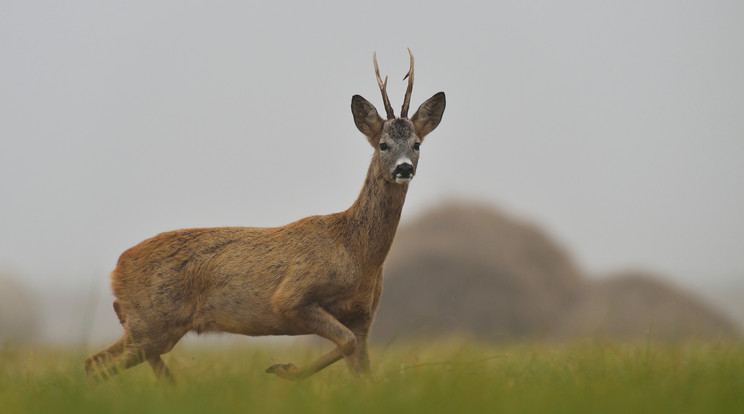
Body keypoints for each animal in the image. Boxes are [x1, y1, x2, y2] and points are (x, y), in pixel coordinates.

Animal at [87, 49, 448, 382]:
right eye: (383, 144)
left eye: (417, 144)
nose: (404, 168)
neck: (357, 252)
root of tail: (117, 269)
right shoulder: (291, 297)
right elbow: (344, 342)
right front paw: (284, 369)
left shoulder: (363, 316)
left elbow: (364, 374)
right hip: (152, 321)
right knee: (94, 363)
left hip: (152, 327)